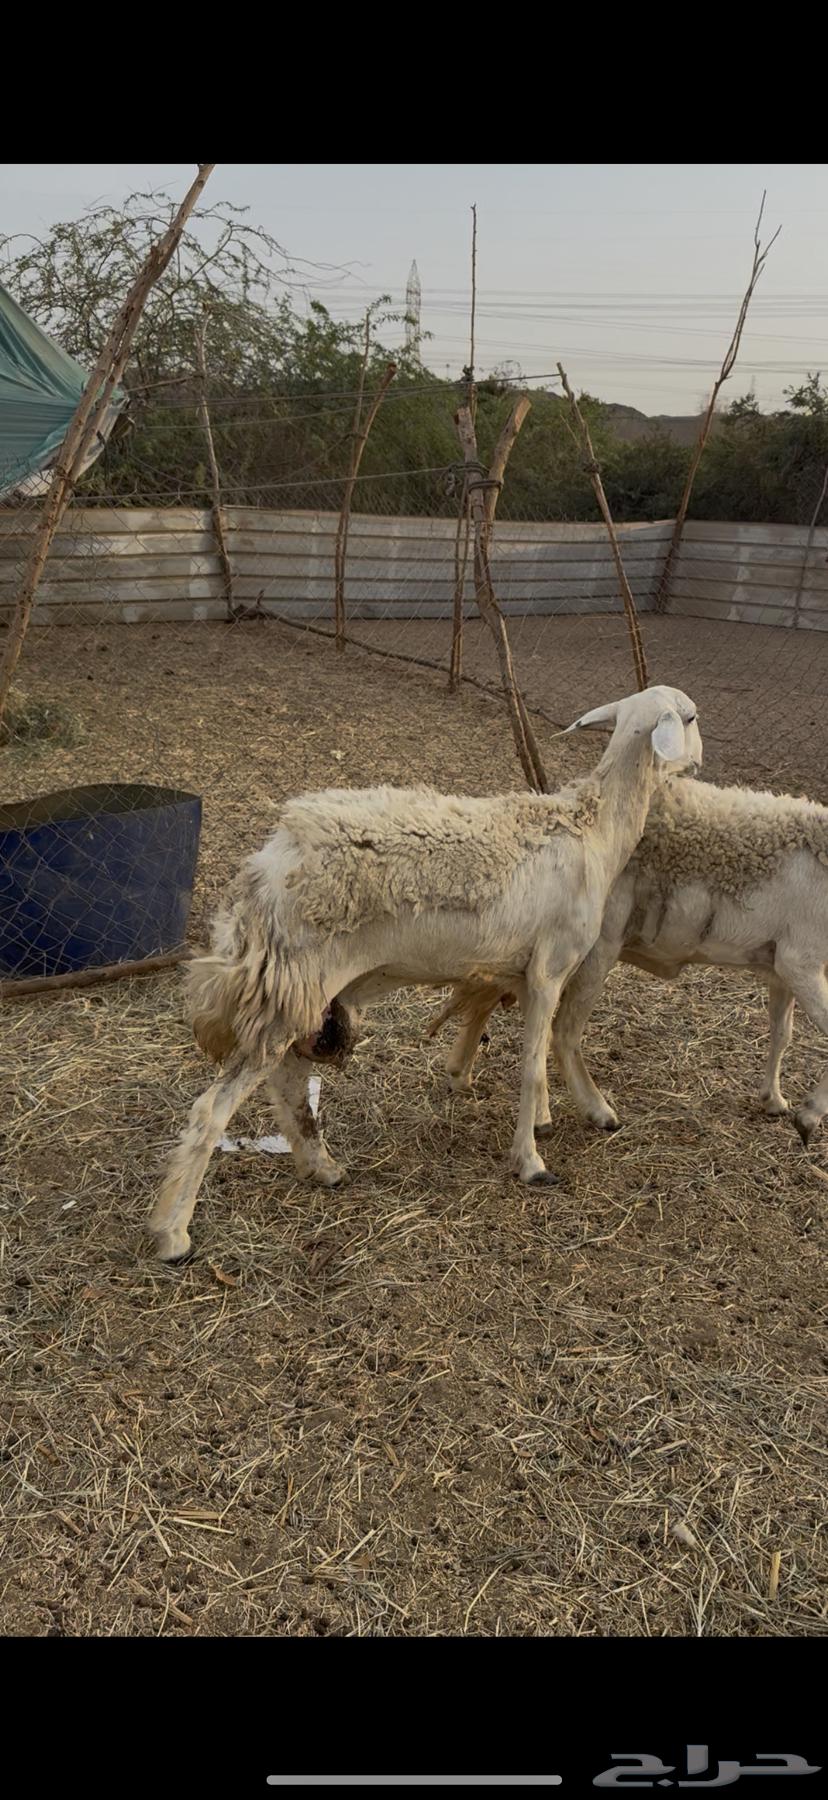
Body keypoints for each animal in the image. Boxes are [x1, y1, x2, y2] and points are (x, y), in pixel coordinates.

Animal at [148, 685, 701, 1262]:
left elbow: (534, 1053)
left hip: (300, 990)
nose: (699, 763)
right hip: (289, 980)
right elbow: (533, 1064)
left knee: (289, 1081)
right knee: (213, 1109)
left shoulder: (525, 973)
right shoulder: (550, 967)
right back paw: (173, 1233)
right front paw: (530, 1163)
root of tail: (263, 869)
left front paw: (542, 1122)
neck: (594, 830)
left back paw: (322, 1168)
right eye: (691, 718)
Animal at [429, 773, 828, 1148]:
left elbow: (782, 1034)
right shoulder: (800, 962)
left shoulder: (781, 969)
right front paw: (807, 1117)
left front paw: (774, 1099)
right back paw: (587, 1111)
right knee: (560, 1028)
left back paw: (464, 1074)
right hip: (593, 948)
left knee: (495, 996)